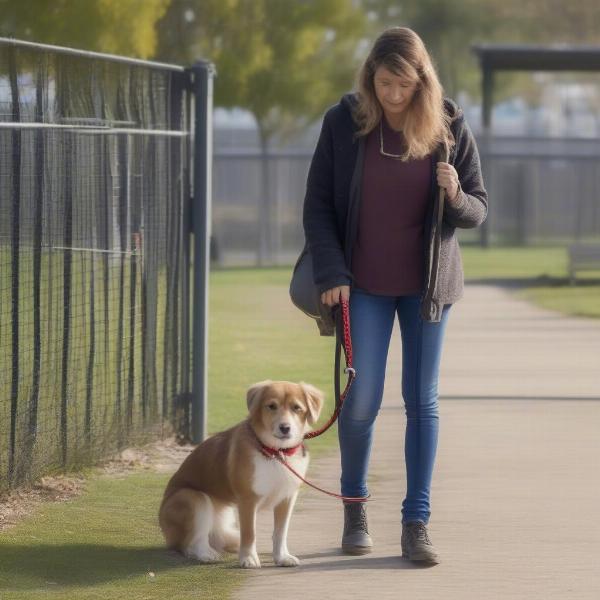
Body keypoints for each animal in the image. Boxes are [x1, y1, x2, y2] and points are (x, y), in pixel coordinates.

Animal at [158, 380, 324, 568]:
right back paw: (206, 554)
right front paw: (248, 558)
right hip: (194, 498)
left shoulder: (286, 498)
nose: (285, 428)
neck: (275, 453)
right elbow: (250, 533)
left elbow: (280, 532)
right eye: (271, 406)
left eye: (297, 408)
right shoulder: (247, 500)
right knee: (188, 543)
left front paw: (282, 557)